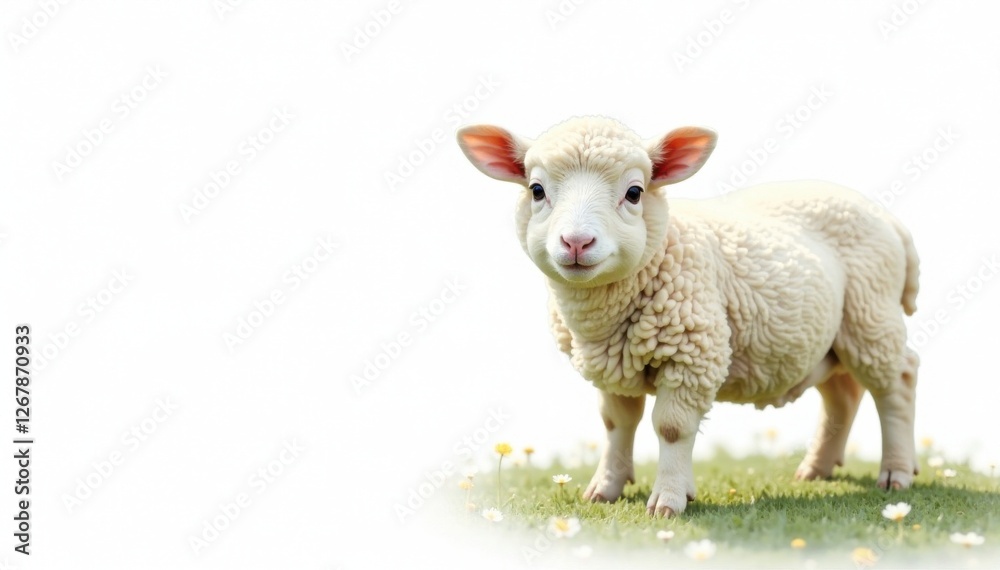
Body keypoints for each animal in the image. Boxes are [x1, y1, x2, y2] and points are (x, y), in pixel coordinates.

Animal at [456, 116, 921, 517]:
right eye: (536, 190)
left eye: (635, 193)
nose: (576, 242)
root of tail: (889, 219)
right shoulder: (612, 365)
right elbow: (615, 424)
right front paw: (605, 488)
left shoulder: (693, 355)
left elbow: (672, 428)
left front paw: (669, 499)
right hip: (831, 337)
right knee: (843, 395)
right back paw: (816, 469)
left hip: (871, 315)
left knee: (897, 383)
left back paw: (896, 472)